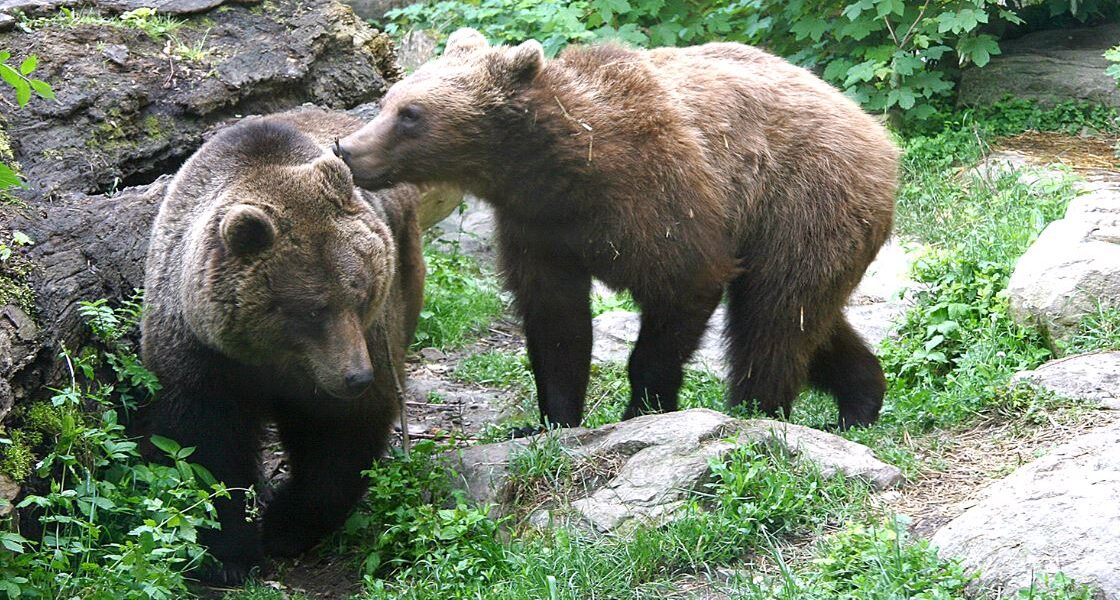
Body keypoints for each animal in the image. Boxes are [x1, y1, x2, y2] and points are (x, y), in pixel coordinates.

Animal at [139, 107, 424, 583]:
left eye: (362, 292)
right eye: (312, 310)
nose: (357, 376)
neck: (272, 358)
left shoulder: (360, 340)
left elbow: (338, 434)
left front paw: (287, 527)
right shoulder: (201, 352)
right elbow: (205, 443)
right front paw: (229, 555)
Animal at [336, 29, 897, 431]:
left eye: (411, 114)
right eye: (390, 99)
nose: (347, 148)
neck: (560, 170)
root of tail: (876, 131)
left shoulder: (659, 196)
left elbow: (682, 287)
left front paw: (643, 407)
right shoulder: (538, 228)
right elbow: (556, 322)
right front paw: (551, 419)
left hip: (802, 198)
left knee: (774, 314)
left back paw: (755, 407)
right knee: (807, 315)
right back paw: (861, 397)